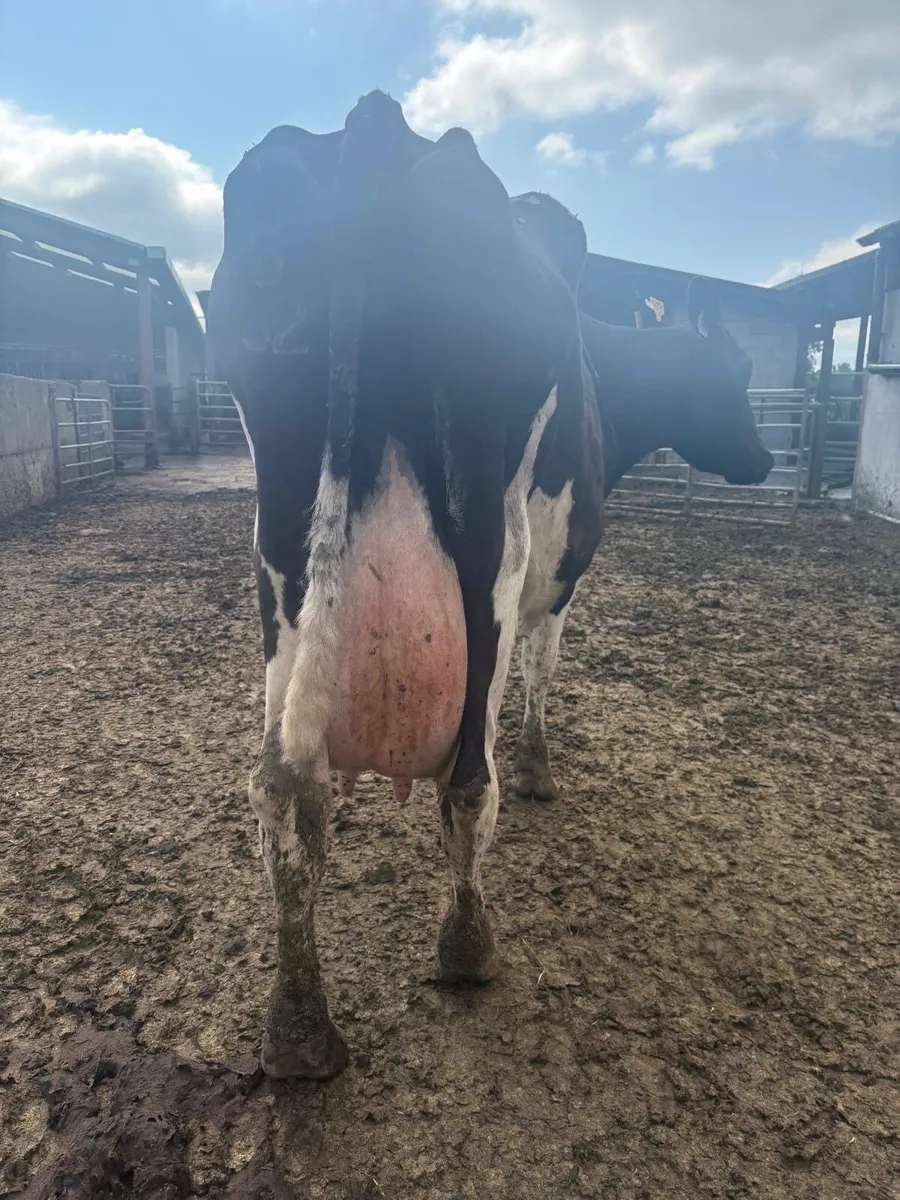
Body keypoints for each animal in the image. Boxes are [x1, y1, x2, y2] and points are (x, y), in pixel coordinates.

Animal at [207, 93, 603, 1079]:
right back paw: (466, 948)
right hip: (489, 544)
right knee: (466, 782)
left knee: (285, 793)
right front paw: (540, 767)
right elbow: (542, 671)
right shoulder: (558, 583)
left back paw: (299, 1030)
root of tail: (377, 118)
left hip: (283, 546)